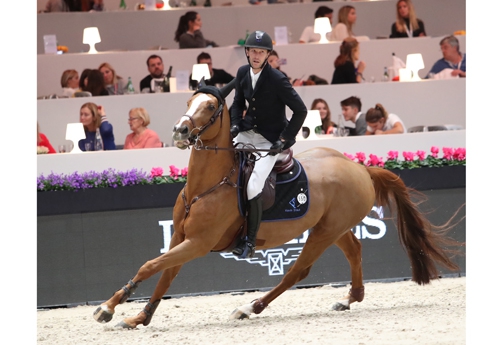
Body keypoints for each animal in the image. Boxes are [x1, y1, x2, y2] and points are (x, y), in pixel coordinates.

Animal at [93, 83, 460, 328]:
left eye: (210, 107)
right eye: (189, 100)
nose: (180, 131)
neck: (204, 187)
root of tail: (359, 167)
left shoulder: (198, 243)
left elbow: (149, 266)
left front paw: (108, 308)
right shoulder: (179, 238)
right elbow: (164, 274)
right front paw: (139, 317)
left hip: (324, 233)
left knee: (298, 271)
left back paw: (251, 307)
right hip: (332, 227)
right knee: (354, 249)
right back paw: (348, 299)